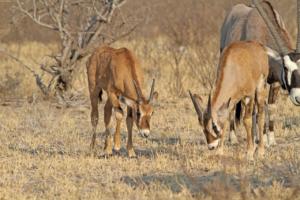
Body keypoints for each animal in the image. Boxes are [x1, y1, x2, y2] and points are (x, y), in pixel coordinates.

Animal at [219, 0, 300, 145]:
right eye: (285, 67)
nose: (298, 98)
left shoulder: (275, 83)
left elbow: (271, 107)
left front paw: (271, 140)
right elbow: (257, 109)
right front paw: (258, 138)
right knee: (233, 104)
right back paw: (233, 138)